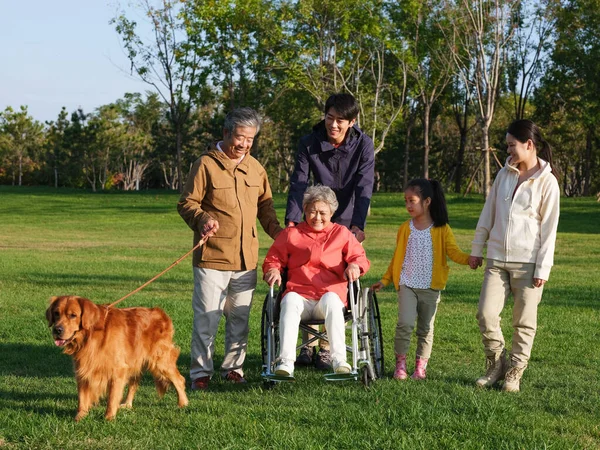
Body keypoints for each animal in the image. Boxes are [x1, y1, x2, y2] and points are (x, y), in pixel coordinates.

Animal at [46, 298, 188, 420]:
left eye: (73, 315)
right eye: (56, 313)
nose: (57, 330)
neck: (91, 334)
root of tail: (161, 313)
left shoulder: (117, 370)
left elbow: (112, 397)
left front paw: (109, 418)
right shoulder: (83, 369)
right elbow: (82, 397)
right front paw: (80, 417)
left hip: (160, 361)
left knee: (179, 379)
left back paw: (183, 403)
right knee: (134, 384)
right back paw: (127, 404)